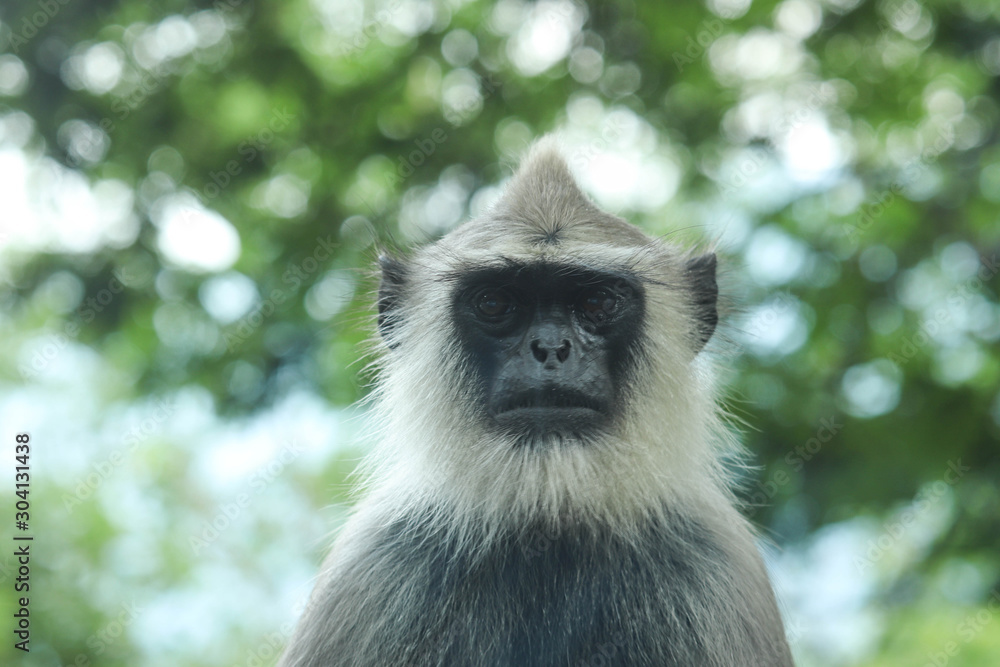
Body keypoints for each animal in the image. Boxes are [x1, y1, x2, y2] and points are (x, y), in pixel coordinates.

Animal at [278, 138, 792, 664]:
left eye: (598, 303)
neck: (548, 523)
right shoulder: (371, 565)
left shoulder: (717, 562)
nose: (550, 348)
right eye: (494, 303)